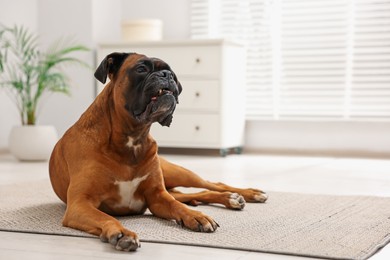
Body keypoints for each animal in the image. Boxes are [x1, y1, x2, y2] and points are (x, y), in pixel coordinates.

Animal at [48, 51, 268, 251]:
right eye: (141, 69)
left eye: (172, 73)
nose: (166, 75)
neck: (132, 137)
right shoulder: (80, 205)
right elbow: (105, 217)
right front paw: (122, 233)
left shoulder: (158, 196)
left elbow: (178, 207)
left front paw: (196, 216)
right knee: (194, 194)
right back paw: (230, 199)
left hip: (177, 174)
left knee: (211, 185)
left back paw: (245, 194)